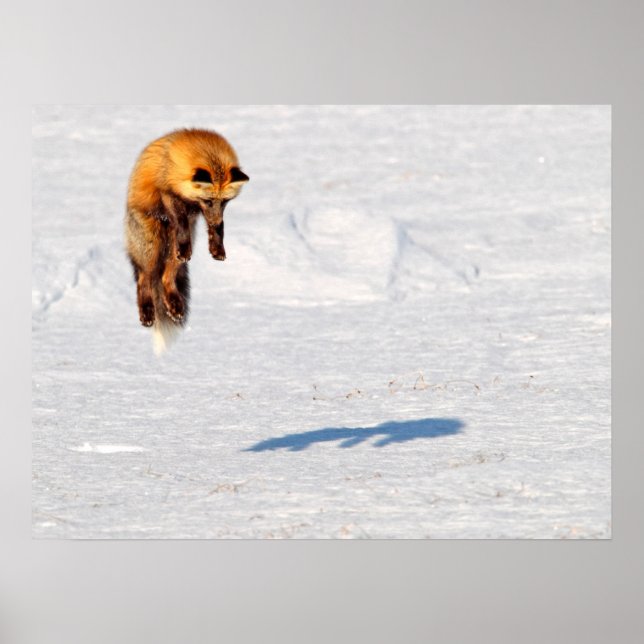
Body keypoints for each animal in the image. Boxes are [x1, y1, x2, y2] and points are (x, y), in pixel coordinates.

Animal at [125, 128, 249, 354]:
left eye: (225, 202)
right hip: (151, 247)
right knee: (144, 279)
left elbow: (218, 230)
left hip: (173, 253)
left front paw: (217, 246)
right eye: (209, 200)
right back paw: (147, 311)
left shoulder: (201, 212)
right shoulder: (168, 192)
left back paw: (174, 304)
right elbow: (180, 220)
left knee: (166, 277)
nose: (216, 220)